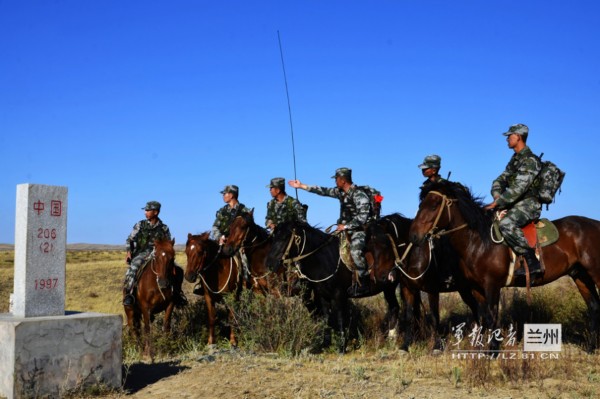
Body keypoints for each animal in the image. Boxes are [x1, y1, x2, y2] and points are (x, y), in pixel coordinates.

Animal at [410, 180, 600, 352]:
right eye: (421, 204)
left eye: (434, 205)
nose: (414, 235)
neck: (479, 241)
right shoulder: (477, 288)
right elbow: (483, 317)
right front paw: (480, 348)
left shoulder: (492, 285)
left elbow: (492, 317)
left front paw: (493, 350)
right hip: (580, 276)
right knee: (593, 307)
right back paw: (591, 347)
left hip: (594, 272)